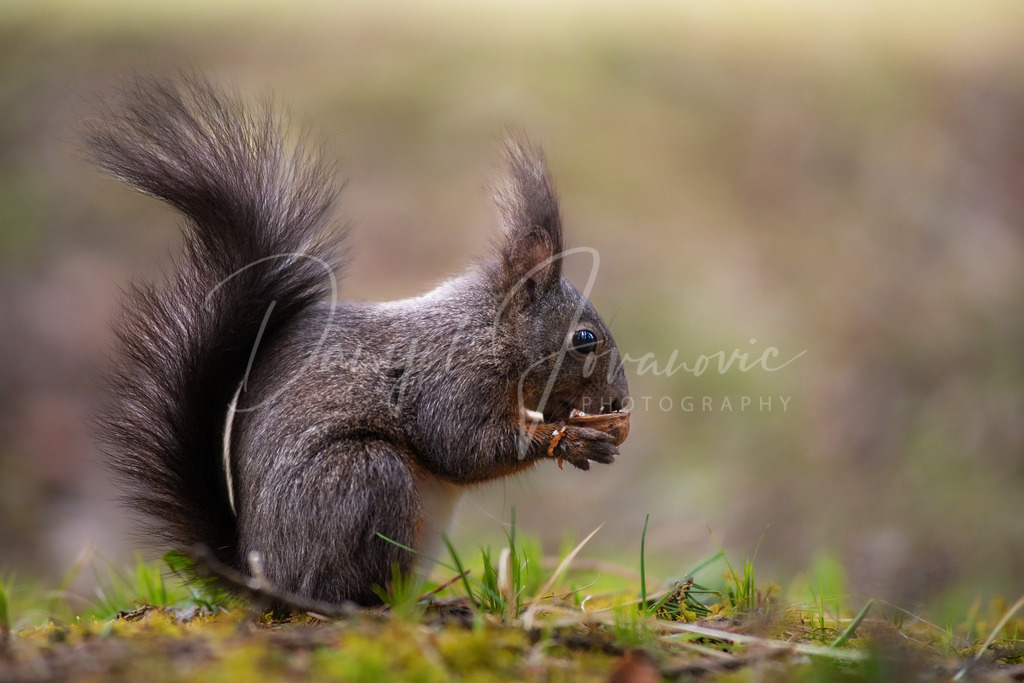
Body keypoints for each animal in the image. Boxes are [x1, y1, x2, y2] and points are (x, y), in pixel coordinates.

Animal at [88, 76, 630, 607]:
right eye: (585, 339)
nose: (618, 403)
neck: (489, 331)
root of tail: (262, 577)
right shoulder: (450, 379)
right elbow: (462, 447)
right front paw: (571, 439)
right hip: (365, 476)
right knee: (336, 590)